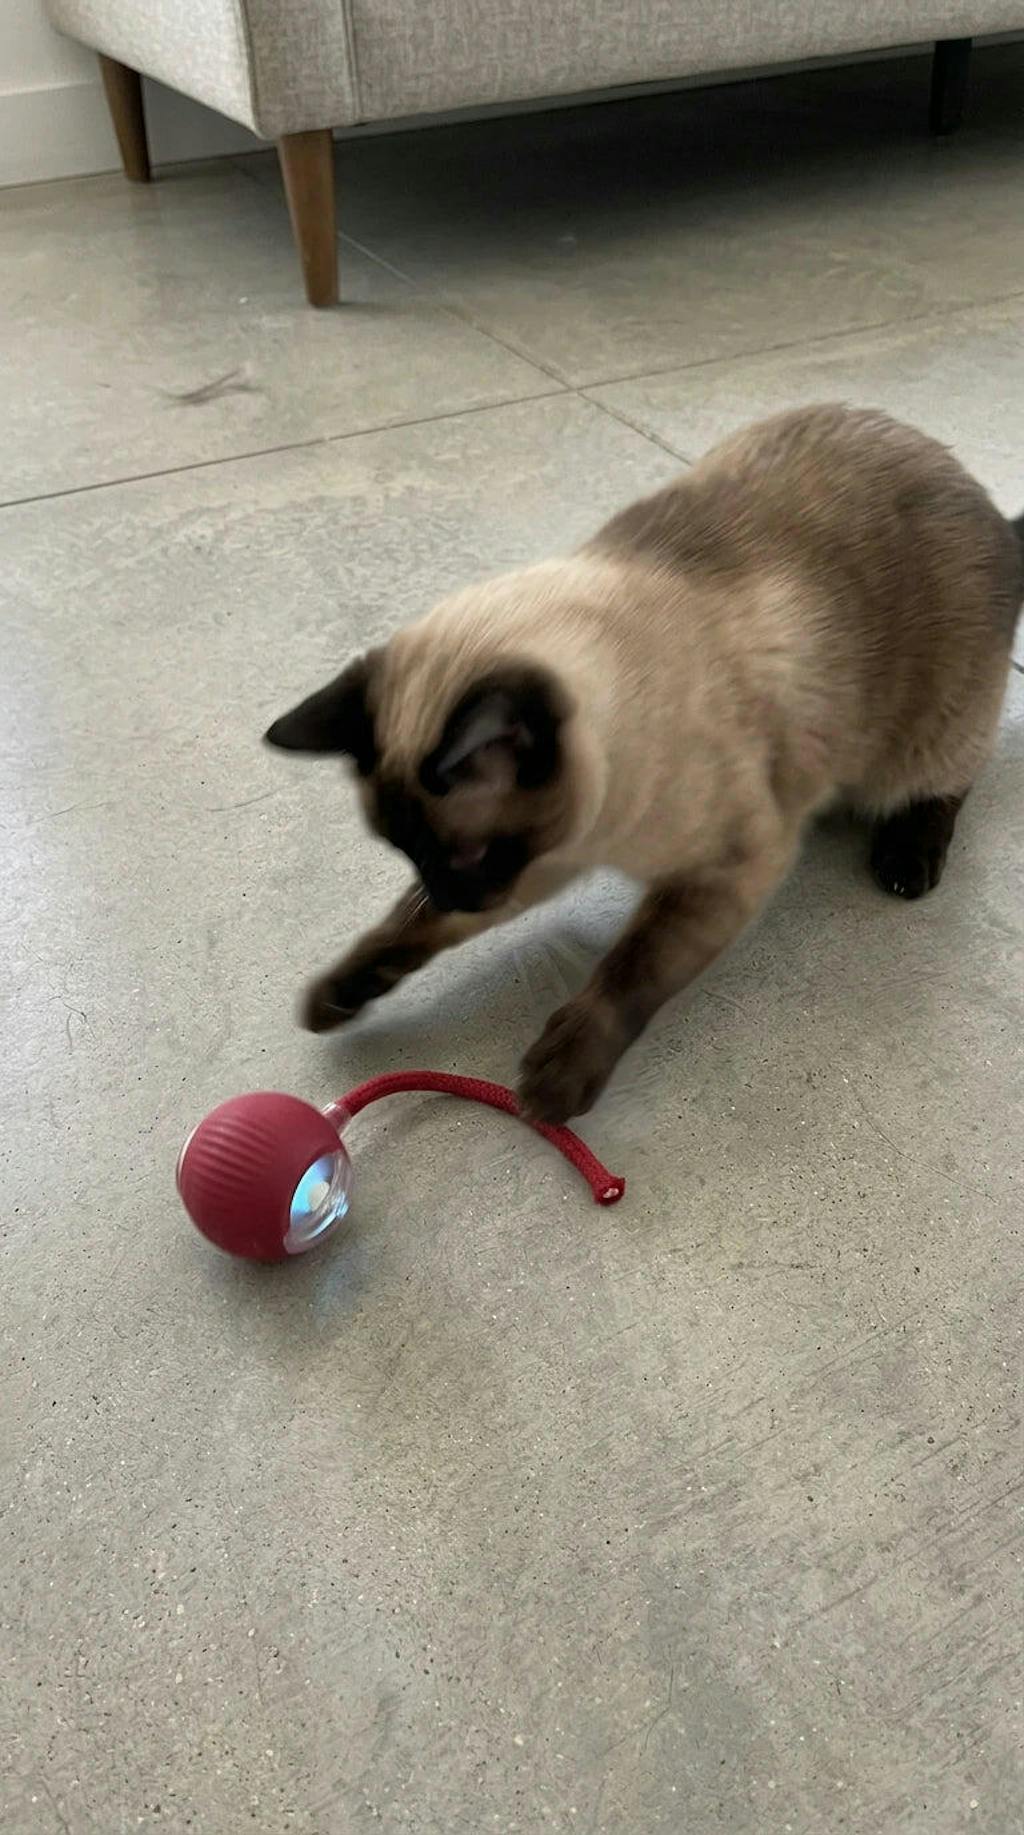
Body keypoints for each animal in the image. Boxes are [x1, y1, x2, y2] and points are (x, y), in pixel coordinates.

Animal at [266, 404, 1023, 1125]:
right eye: (408, 854)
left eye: (468, 855)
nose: (453, 895)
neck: (597, 834)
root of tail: (990, 511)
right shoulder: (542, 860)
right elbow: (407, 930)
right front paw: (336, 995)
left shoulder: (724, 867)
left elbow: (632, 969)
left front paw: (557, 1079)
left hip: (922, 741)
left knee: (949, 782)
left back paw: (906, 861)